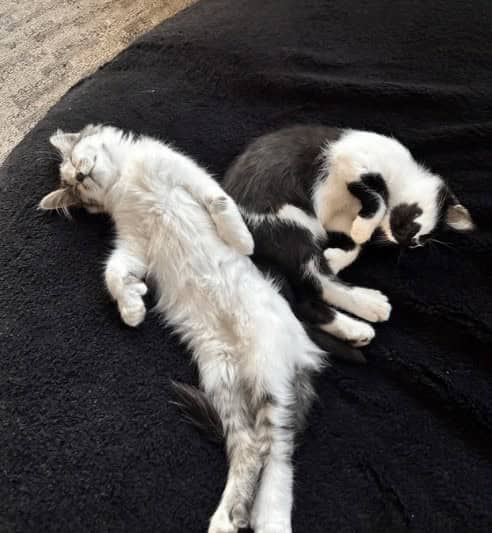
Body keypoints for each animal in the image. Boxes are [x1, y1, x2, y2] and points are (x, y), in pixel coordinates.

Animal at [40, 124, 331, 533]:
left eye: (77, 162)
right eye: (73, 184)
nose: (80, 177)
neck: (125, 181)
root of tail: (304, 352)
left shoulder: (183, 172)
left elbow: (220, 203)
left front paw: (241, 240)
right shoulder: (133, 243)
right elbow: (113, 272)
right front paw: (132, 306)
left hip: (266, 370)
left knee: (277, 448)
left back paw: (267, 518)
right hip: (222, 379)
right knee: (253, 447)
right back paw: (232, 516)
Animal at [223, 125, 475, 346]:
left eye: (415, 245)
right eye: (414, 227)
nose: (404, 241)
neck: (403, 172)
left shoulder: (341, 218)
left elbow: (356, 244)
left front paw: (337, 255)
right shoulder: (349, 159)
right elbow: (379, 195)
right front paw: (363, 230)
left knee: (304, 300)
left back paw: (355, 331)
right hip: (288, 223)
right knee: (318, 280)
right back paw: (370, 304)